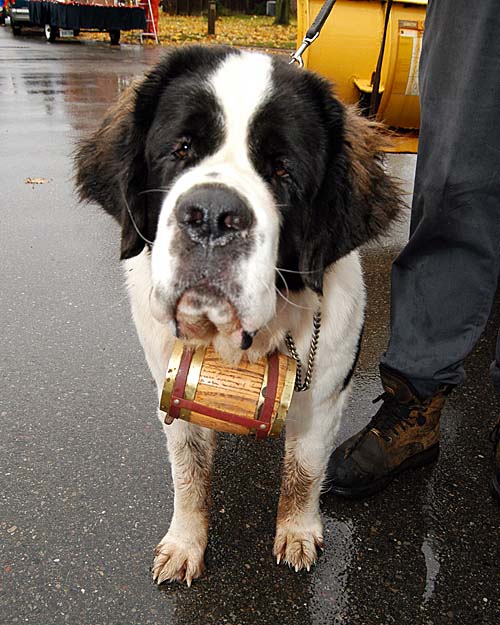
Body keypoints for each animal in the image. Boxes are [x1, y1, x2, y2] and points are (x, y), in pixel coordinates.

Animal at [75, 45, 402, 584]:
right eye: (180, 150)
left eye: (283, 170)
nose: (211, 214)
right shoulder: (174, 388)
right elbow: (189, 472)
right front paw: (185, 544)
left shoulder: (322, 396)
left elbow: (304, 471)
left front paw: (297, 534)